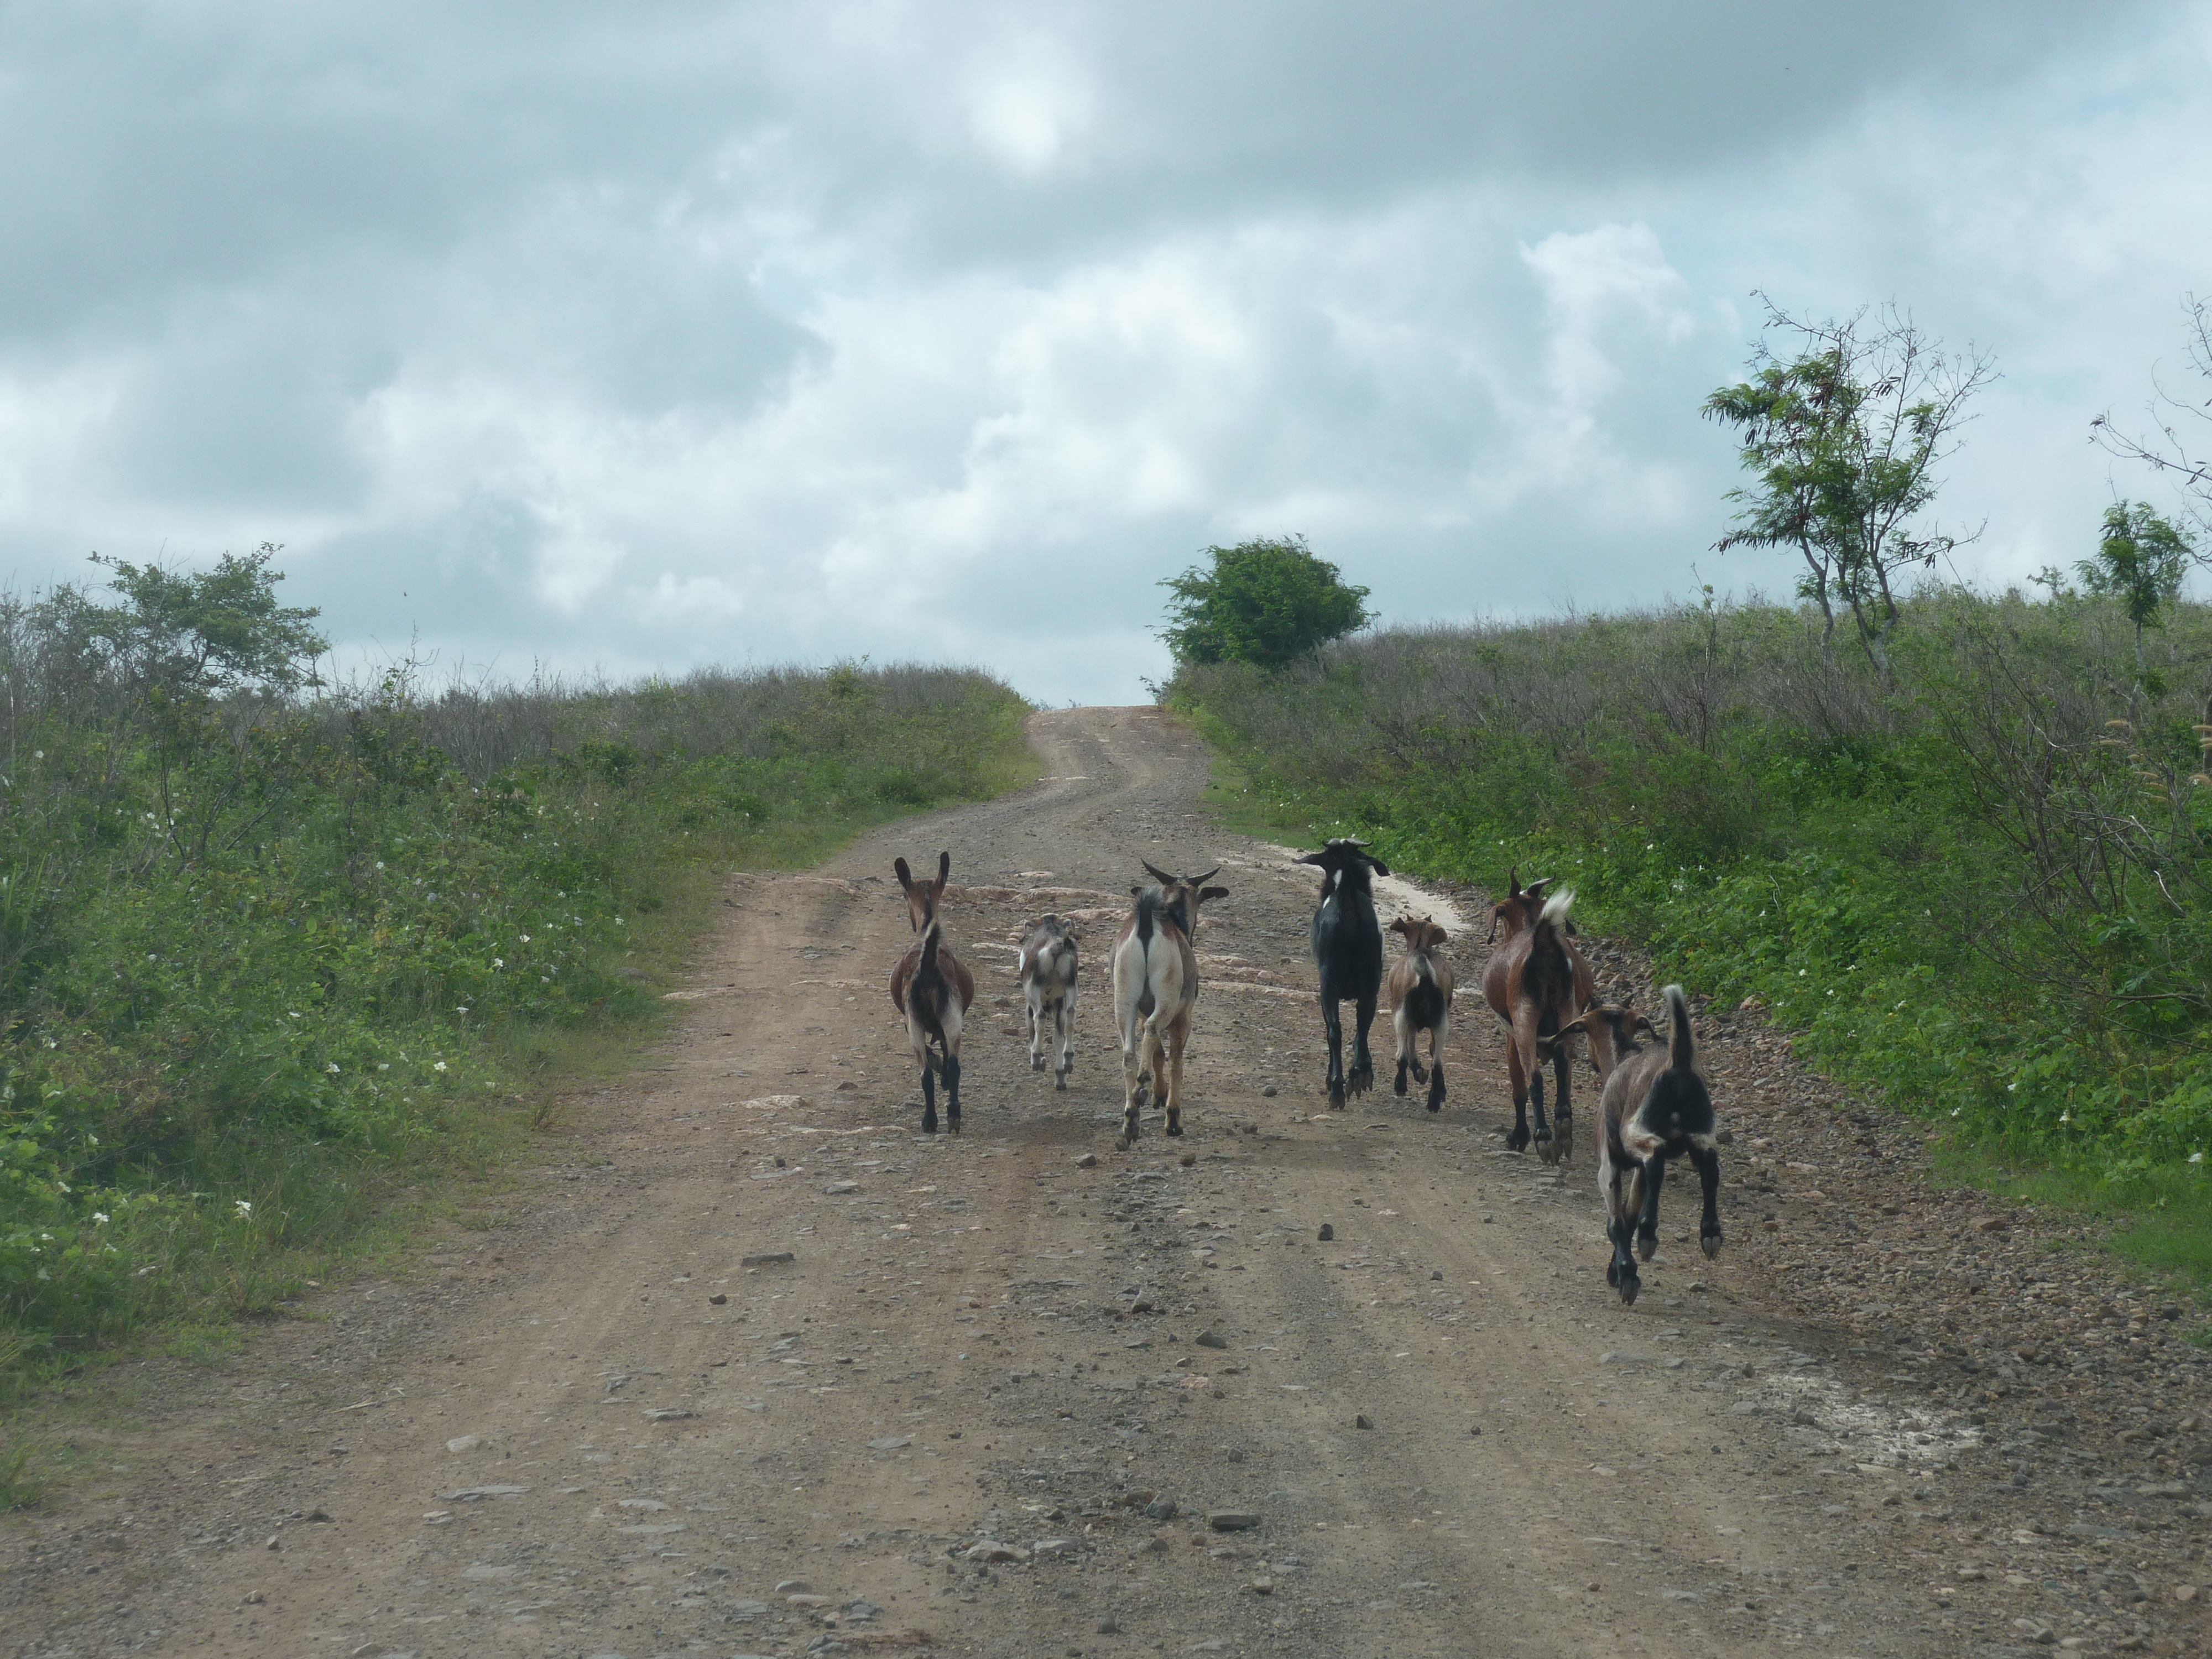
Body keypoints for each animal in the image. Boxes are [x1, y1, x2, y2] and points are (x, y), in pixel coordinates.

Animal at [1292, 845, 1380, 1106]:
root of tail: (1347, 900)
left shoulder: (1325, 994)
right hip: (1371, 985)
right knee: (1363, 1025)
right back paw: (1360, 1074)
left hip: (1329, 986)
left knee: (1335, 1031)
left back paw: (1337, 1088)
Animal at [1486, 876, 1593, 1159]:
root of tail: (1542, 940)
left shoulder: (1511, 1036)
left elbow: (1519, 1089)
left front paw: (1519, 1136)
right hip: (1568, 1014)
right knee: (1563, 1066)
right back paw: (1563, 1125)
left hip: (1525, 1020)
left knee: (1535, 1079)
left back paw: (1543, 1135)